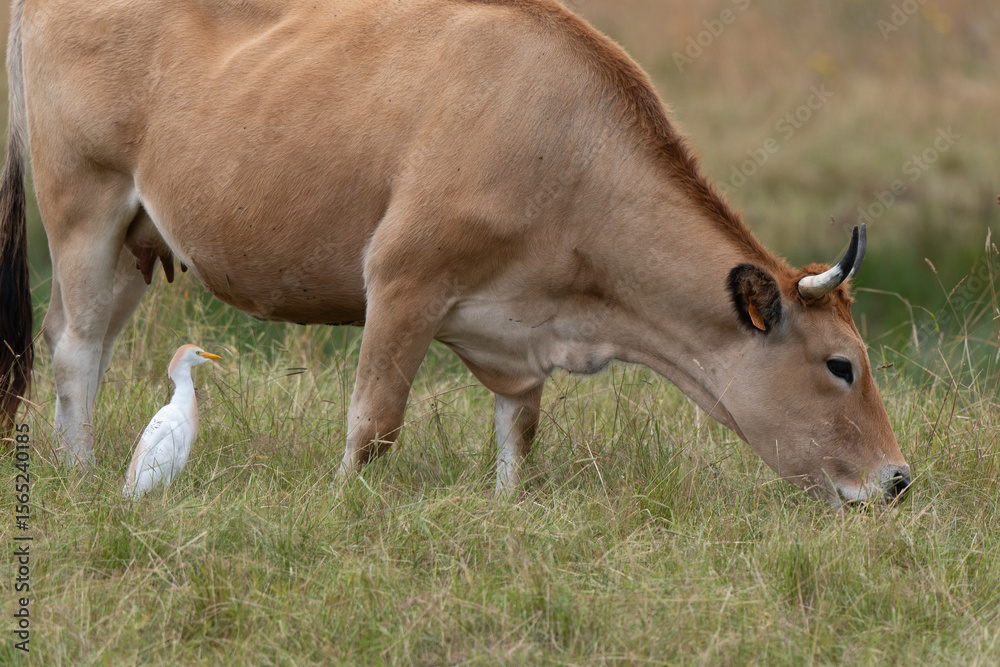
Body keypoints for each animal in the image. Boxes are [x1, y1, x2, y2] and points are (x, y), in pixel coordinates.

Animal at [0, 0, 910, 507]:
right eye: (841, 365)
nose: (899, 478)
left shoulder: (517, 334)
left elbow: (519, 430)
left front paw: (507, 507)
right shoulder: (404, 281)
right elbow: (374, 422)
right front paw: (346, 507)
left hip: (135, 239)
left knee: (86, 342)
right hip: (84, 206)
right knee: (75, 349)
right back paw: (85, 474)